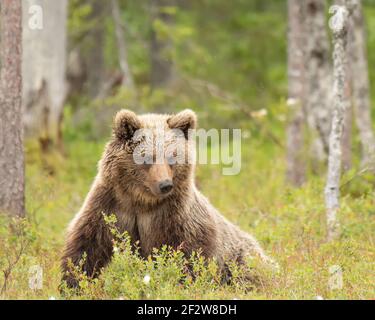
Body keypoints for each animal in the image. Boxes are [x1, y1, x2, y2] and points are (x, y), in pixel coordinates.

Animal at [61, 109, 278, 288]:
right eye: (147, 157)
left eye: (173, 157)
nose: (165, 184)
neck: (142, 201)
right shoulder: (110, 206)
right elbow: (87, 246)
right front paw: (72, 283)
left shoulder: (177, 216)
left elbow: (190, 255)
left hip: (244, 257)